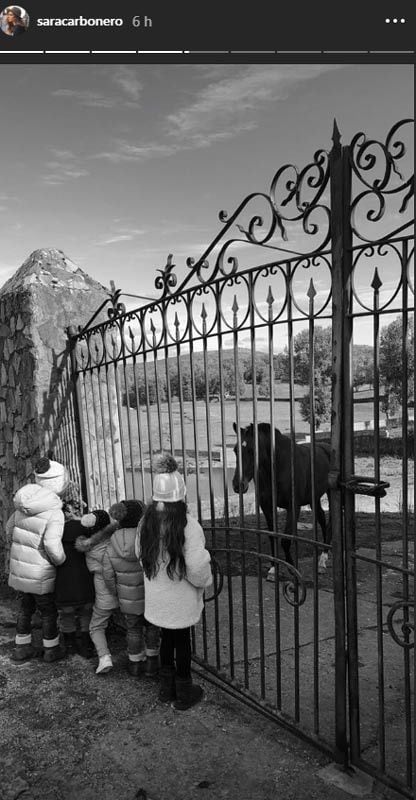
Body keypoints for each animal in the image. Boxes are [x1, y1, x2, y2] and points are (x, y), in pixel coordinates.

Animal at [232, 422, 334, 572]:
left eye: (252, 450)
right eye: (235, 450)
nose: (238, 485)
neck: (278, 467)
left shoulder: (293, 507)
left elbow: (285, 540)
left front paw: (292, 568)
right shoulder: (267, 507)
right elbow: (272, 536)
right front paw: (273, 568)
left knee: (329, 523)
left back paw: (323, 559)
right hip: (314, 498)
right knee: (321, 518)